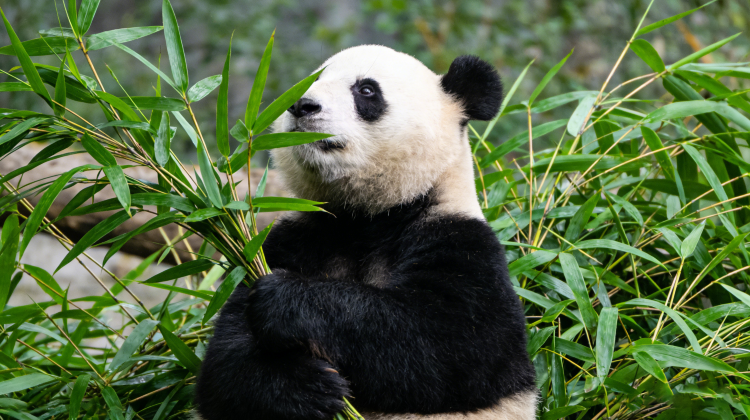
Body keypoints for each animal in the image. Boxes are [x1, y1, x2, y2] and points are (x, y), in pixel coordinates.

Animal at [195, 45, 537, 420]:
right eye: (312, 80)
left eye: (367, 90)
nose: (302, 106)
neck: (367, 217)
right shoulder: (295, 239)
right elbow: (226, 366)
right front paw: (309, 387)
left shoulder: (460, 239)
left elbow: (454, 341)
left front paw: (285, 298)